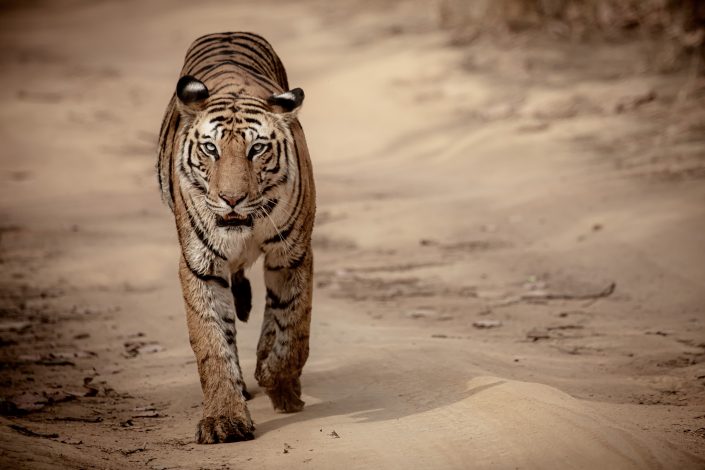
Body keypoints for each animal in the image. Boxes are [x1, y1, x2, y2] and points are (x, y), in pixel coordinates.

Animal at [160, 33, 316, 444]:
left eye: (256, 148)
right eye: (210, 148)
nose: (232, 198)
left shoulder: (293, 254)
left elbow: (293, 326)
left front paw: (281, 387)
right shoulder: (200, 264)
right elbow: (212, 343)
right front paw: (224, 420)